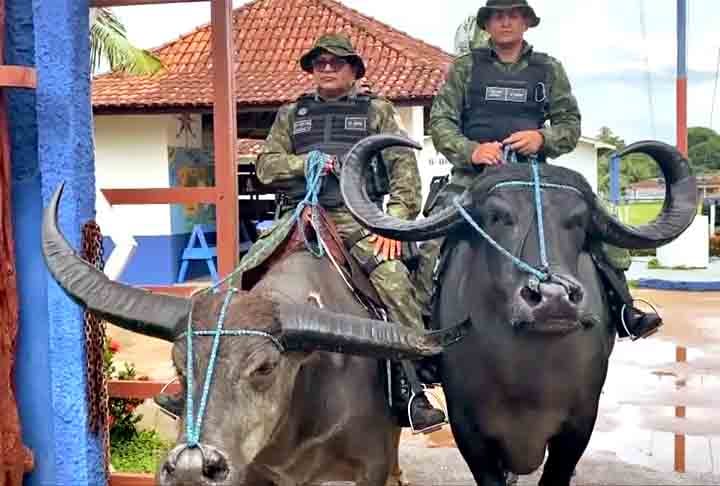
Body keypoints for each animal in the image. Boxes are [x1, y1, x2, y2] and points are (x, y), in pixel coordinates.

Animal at [344, 134, 696, 486]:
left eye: (579, 221)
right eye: (497, 217)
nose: (553, 298)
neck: (526, 376)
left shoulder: (580, 423)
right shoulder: (468, 428)